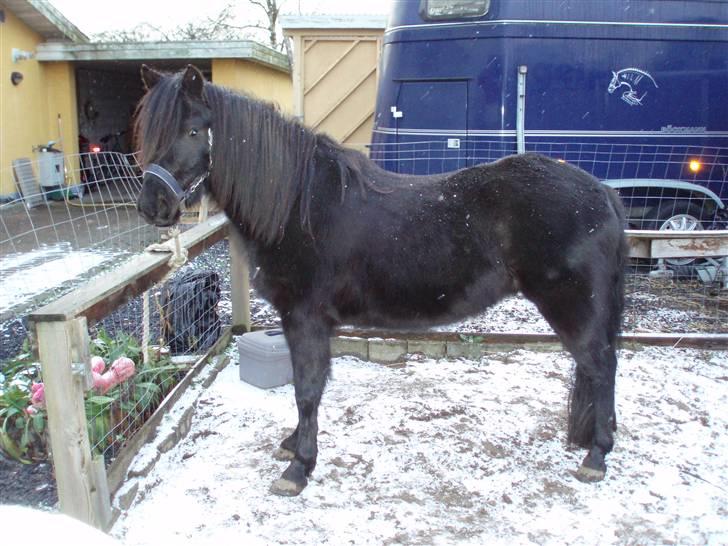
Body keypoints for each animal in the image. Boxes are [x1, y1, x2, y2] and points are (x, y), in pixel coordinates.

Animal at [135, 64, 627, 497]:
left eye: (192, 131)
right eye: (149, 136)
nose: (151, 206)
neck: (298, 205)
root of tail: (601, 192)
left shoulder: (304, 318)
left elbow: (307, 390)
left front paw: (299, 469)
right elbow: (304, 387)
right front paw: (293, 446)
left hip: (571, 306)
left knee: (601, 367)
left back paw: (597, 457)